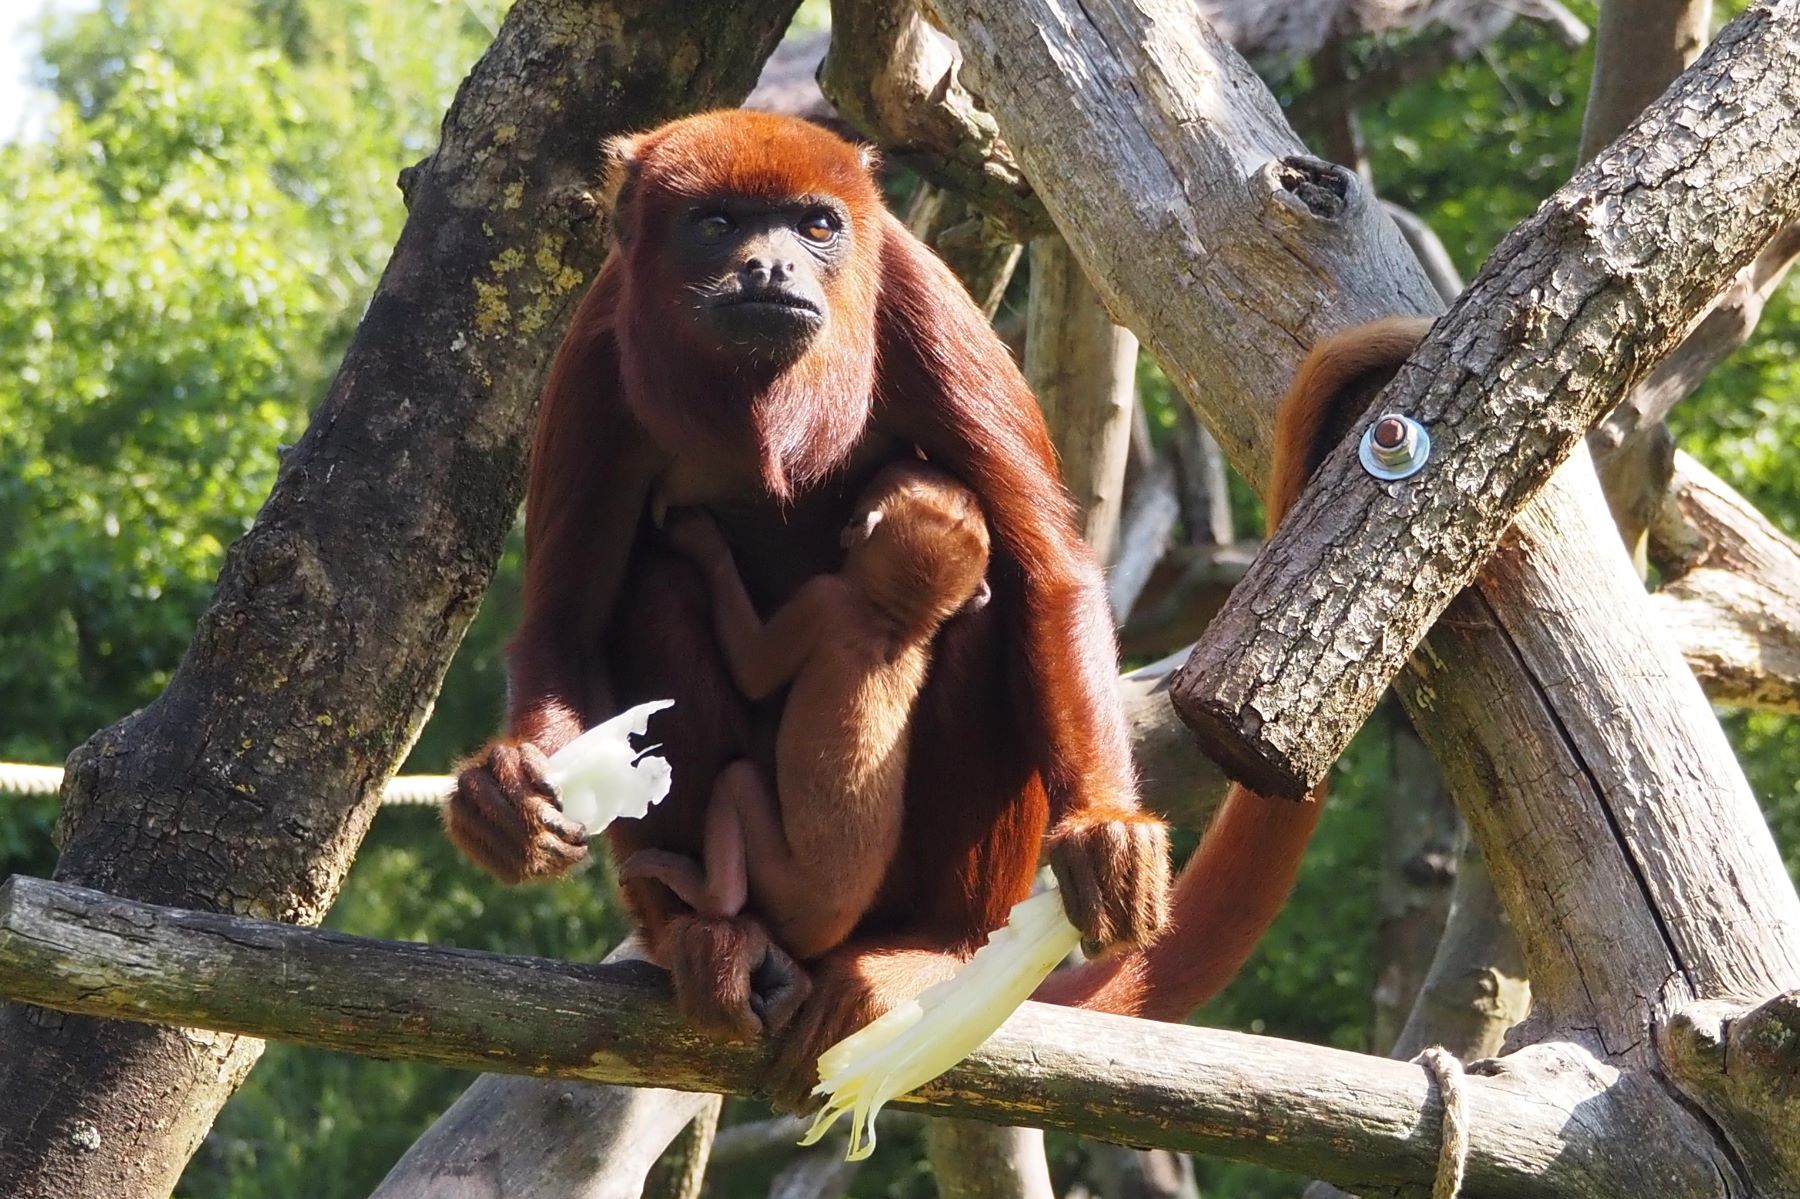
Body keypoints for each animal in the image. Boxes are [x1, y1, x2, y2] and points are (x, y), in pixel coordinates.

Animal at [618, 461, 992, 965]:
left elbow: (753, 673)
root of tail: (821, 932)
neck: (894, 624)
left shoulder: (824, 600)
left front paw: (705, 545)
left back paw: (710, 894)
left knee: (736, 782)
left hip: (781, 881)